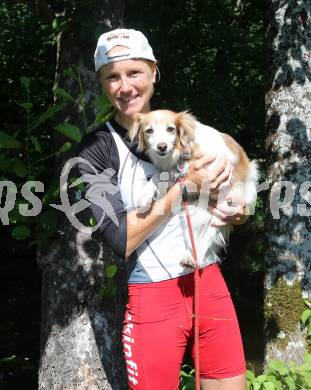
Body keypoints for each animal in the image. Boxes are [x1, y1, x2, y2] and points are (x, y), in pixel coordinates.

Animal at [129, 109, 258, 266]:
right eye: (149, 131)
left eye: (170, 129)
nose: (162, 146)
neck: (185, 153)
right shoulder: (175, 173)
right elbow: (158, 176)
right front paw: (144, 197)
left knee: (209, 234)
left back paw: (194, 258)